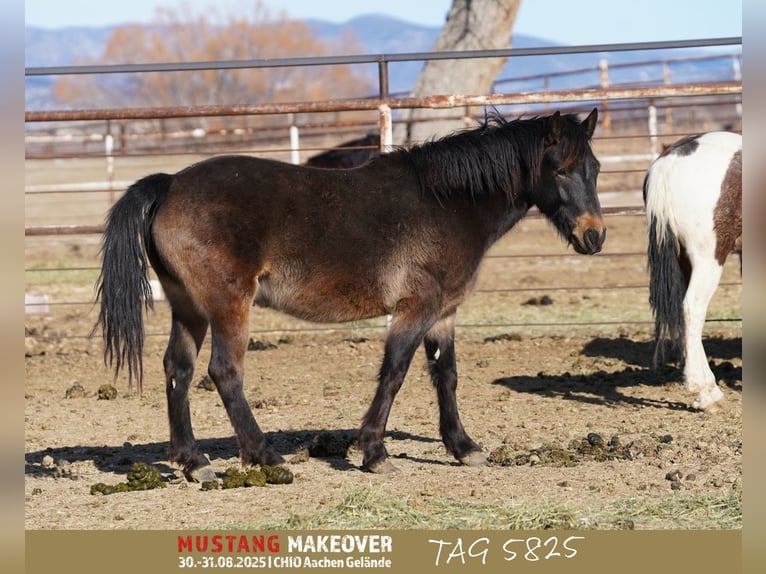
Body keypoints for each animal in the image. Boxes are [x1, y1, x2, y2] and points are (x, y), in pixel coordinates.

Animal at [94, 108, 608, 476]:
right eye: (561, 171)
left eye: (595, 169)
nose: (594, 236)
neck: (449, 203)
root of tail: (170, 184)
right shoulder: (416, 309)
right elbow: (394, 373)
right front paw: (375, 453)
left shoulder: (444, 313)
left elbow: (446, 376)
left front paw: (463, 447)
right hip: (228, 305)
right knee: (224, 372)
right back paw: (264, 456)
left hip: (189, 308)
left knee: (177, 370)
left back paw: (193, 462)